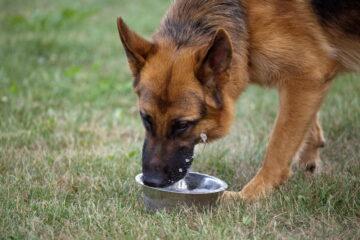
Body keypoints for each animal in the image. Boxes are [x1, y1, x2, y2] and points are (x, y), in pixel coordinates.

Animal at [116, 0, 358, 201]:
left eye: (183, 125)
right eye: (145, 119)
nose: (151, 181)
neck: (247, 19)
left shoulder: (307, 76)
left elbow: (278, 147)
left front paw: (250, 196)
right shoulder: (308, 84)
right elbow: (304, 124)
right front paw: (309, 154)